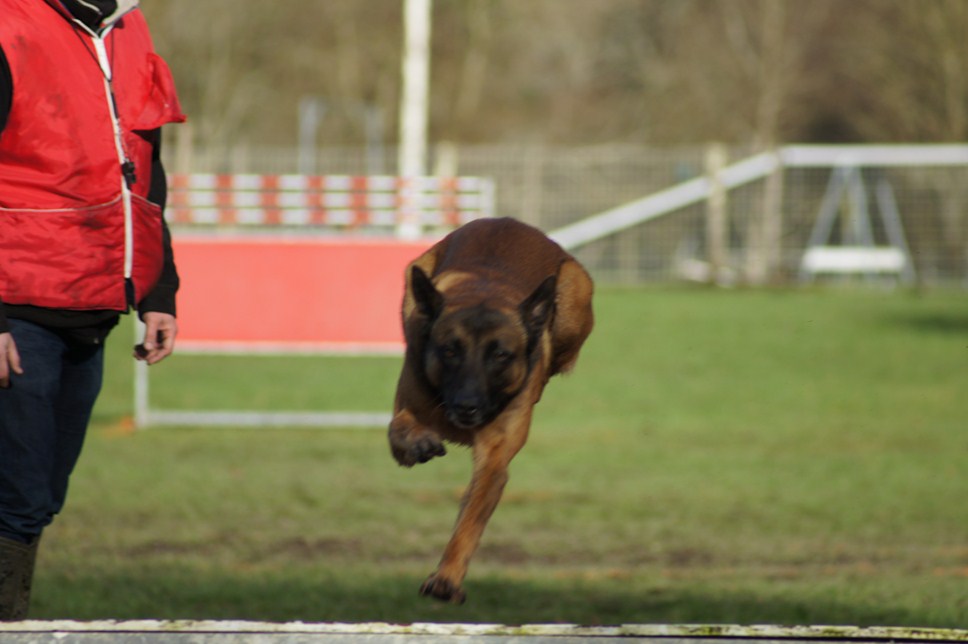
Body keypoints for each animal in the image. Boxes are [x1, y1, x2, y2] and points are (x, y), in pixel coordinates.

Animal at [390, 216, 592, 604]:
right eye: (450, 350)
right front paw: (418, 440)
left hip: (573, 298)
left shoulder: (495, 461)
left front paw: (447, 578)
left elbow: (470, 520)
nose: (467, 406)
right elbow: (401, 429)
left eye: (500, 355)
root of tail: (510, 221)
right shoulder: (406, 412)